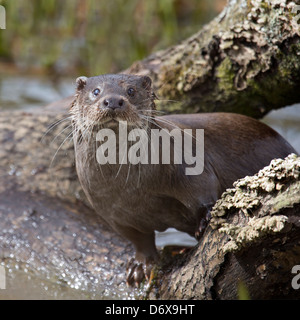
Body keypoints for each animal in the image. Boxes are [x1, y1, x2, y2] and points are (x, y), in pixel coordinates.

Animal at [69, 74, 296, 286]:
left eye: (131, 91)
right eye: (96, 91)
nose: (114, 101)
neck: (129, 187)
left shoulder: (188, 166)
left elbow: (204, 192)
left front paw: (205, 219)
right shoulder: (113, 214)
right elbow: (139, 240)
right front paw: (140, 266)